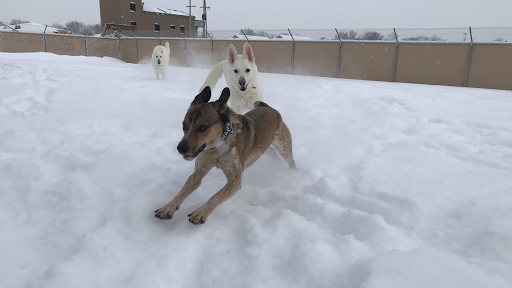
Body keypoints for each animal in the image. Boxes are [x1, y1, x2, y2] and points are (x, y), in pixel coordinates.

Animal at [154, 86, 296, 224]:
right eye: (184, 126)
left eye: (203, 127)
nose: (181, 148)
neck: (216, 150)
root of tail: (270, 109)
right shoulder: (200, 170)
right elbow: (183, 190)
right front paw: (168, 207)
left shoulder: (234, 180)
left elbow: (216, 196)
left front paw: (201, 212)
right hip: (263, 147)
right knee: (272, 153)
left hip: (284, 147)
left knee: (291, 161)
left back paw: (293, 173)